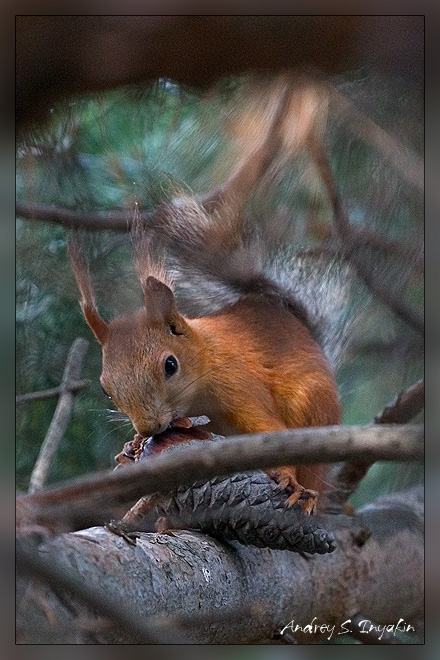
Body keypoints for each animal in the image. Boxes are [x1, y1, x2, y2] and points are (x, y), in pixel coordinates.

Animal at [69, 82, 344, 512]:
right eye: (104, 387)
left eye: (170, 365)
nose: (150, 426)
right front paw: (129, 448)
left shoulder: (239, 384)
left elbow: (268, 430)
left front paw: (285, 476)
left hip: (313, 409)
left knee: (313, 465)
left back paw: (307, 493)